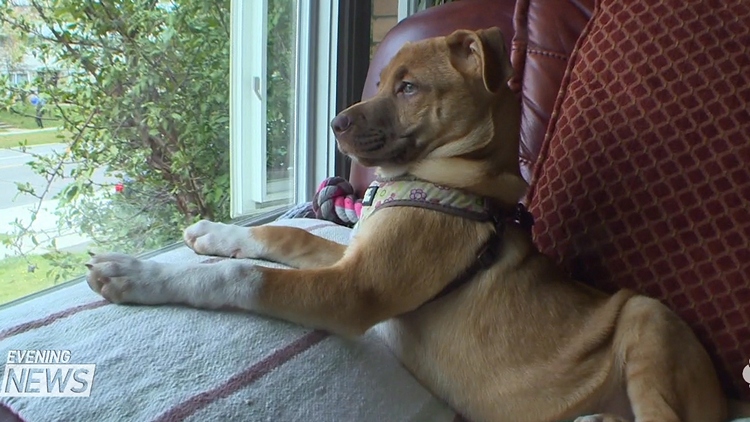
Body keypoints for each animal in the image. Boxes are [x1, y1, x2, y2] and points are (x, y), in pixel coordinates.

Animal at [86, 29, 736, 422]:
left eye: (408, 87)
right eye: (380, 81)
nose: (334, 123)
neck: (448, 179)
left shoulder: (355, 289)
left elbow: (243, 278)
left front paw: (134, 273)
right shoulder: (357, 256)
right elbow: (285, 235)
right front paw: (214, 233)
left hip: (650, 320)